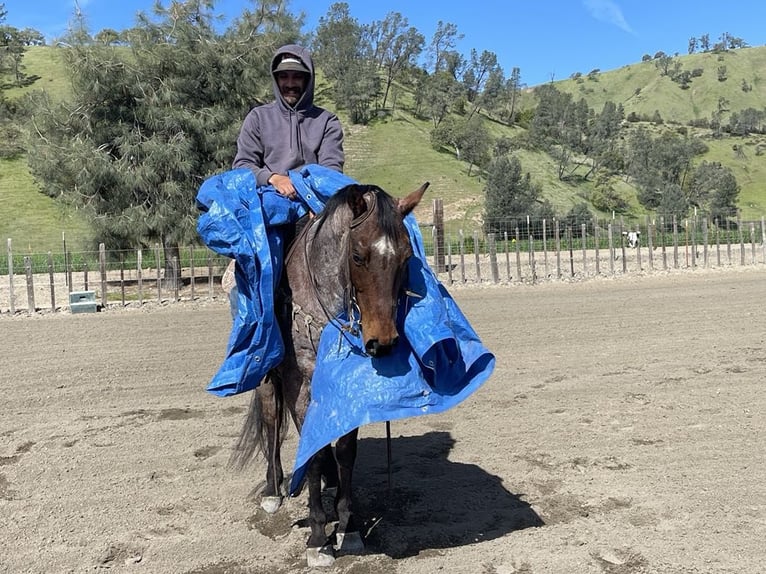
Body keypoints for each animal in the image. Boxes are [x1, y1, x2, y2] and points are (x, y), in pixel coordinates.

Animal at [231, 182, 428, 568]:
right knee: (272, 421)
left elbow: (345, 449)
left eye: (406, 257)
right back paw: (273, 490)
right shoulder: (302, 385)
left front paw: (348, 527)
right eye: (358, 256)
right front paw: (319, 538)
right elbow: (316, 454)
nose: (383, 342)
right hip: (267, 379)